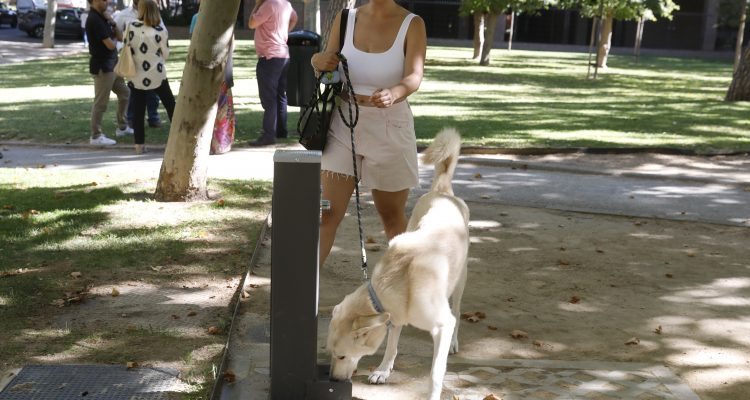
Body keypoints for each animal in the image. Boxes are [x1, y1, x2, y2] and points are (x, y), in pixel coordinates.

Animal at [328, 128, 470, 400]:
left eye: (340, 355)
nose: (332, 379)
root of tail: (442, 193)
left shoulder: (442, 325)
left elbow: (435, 374)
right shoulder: (395, 317)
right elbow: (391, 346)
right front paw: (383, 371)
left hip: (460, 281)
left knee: (457, 311)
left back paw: (456, 341)